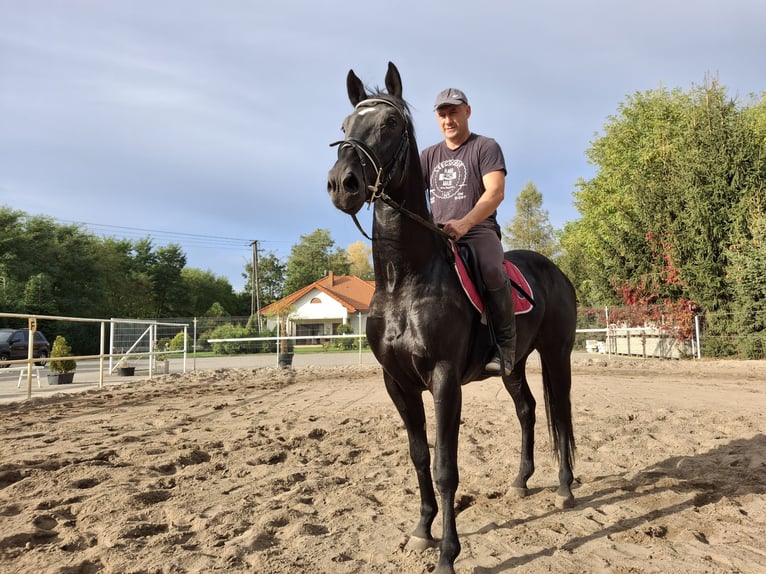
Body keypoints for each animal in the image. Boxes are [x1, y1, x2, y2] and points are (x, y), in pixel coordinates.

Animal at [328, 63, 580, 574]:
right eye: (345, 125)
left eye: (389, 123)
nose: (342, 183)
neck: (406, 280)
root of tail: (555, 270)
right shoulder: (398, 383)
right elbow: (419, 457)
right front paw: (422, 531)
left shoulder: (444, 380)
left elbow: (446, 467)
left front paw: (447, 553)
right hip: (514, 365)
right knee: (529, 409)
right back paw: (521, 481)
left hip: (556, 355)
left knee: (560, 414)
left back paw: (564, 487)